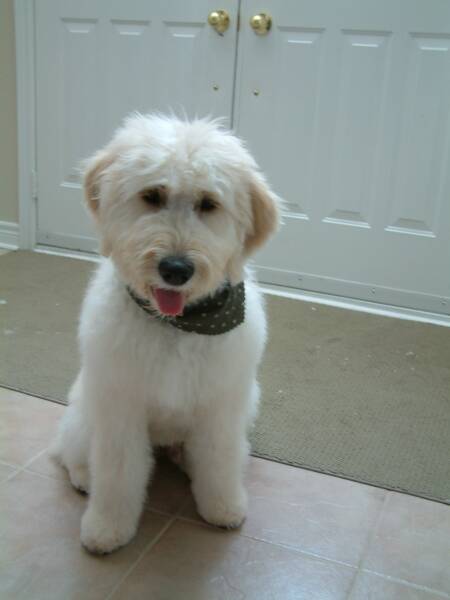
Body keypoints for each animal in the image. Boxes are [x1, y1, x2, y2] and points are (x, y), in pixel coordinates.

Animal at [51, 114, 281, 554]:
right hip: (86, 411)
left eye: (208, 204)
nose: (175, 269)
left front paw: (223, 506)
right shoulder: (120, 406)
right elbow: (118, 471)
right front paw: (106, 528)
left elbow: (220, 458)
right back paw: (83, 477)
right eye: (153, 195)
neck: (176, 324)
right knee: (71, 453)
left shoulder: (221, 406)